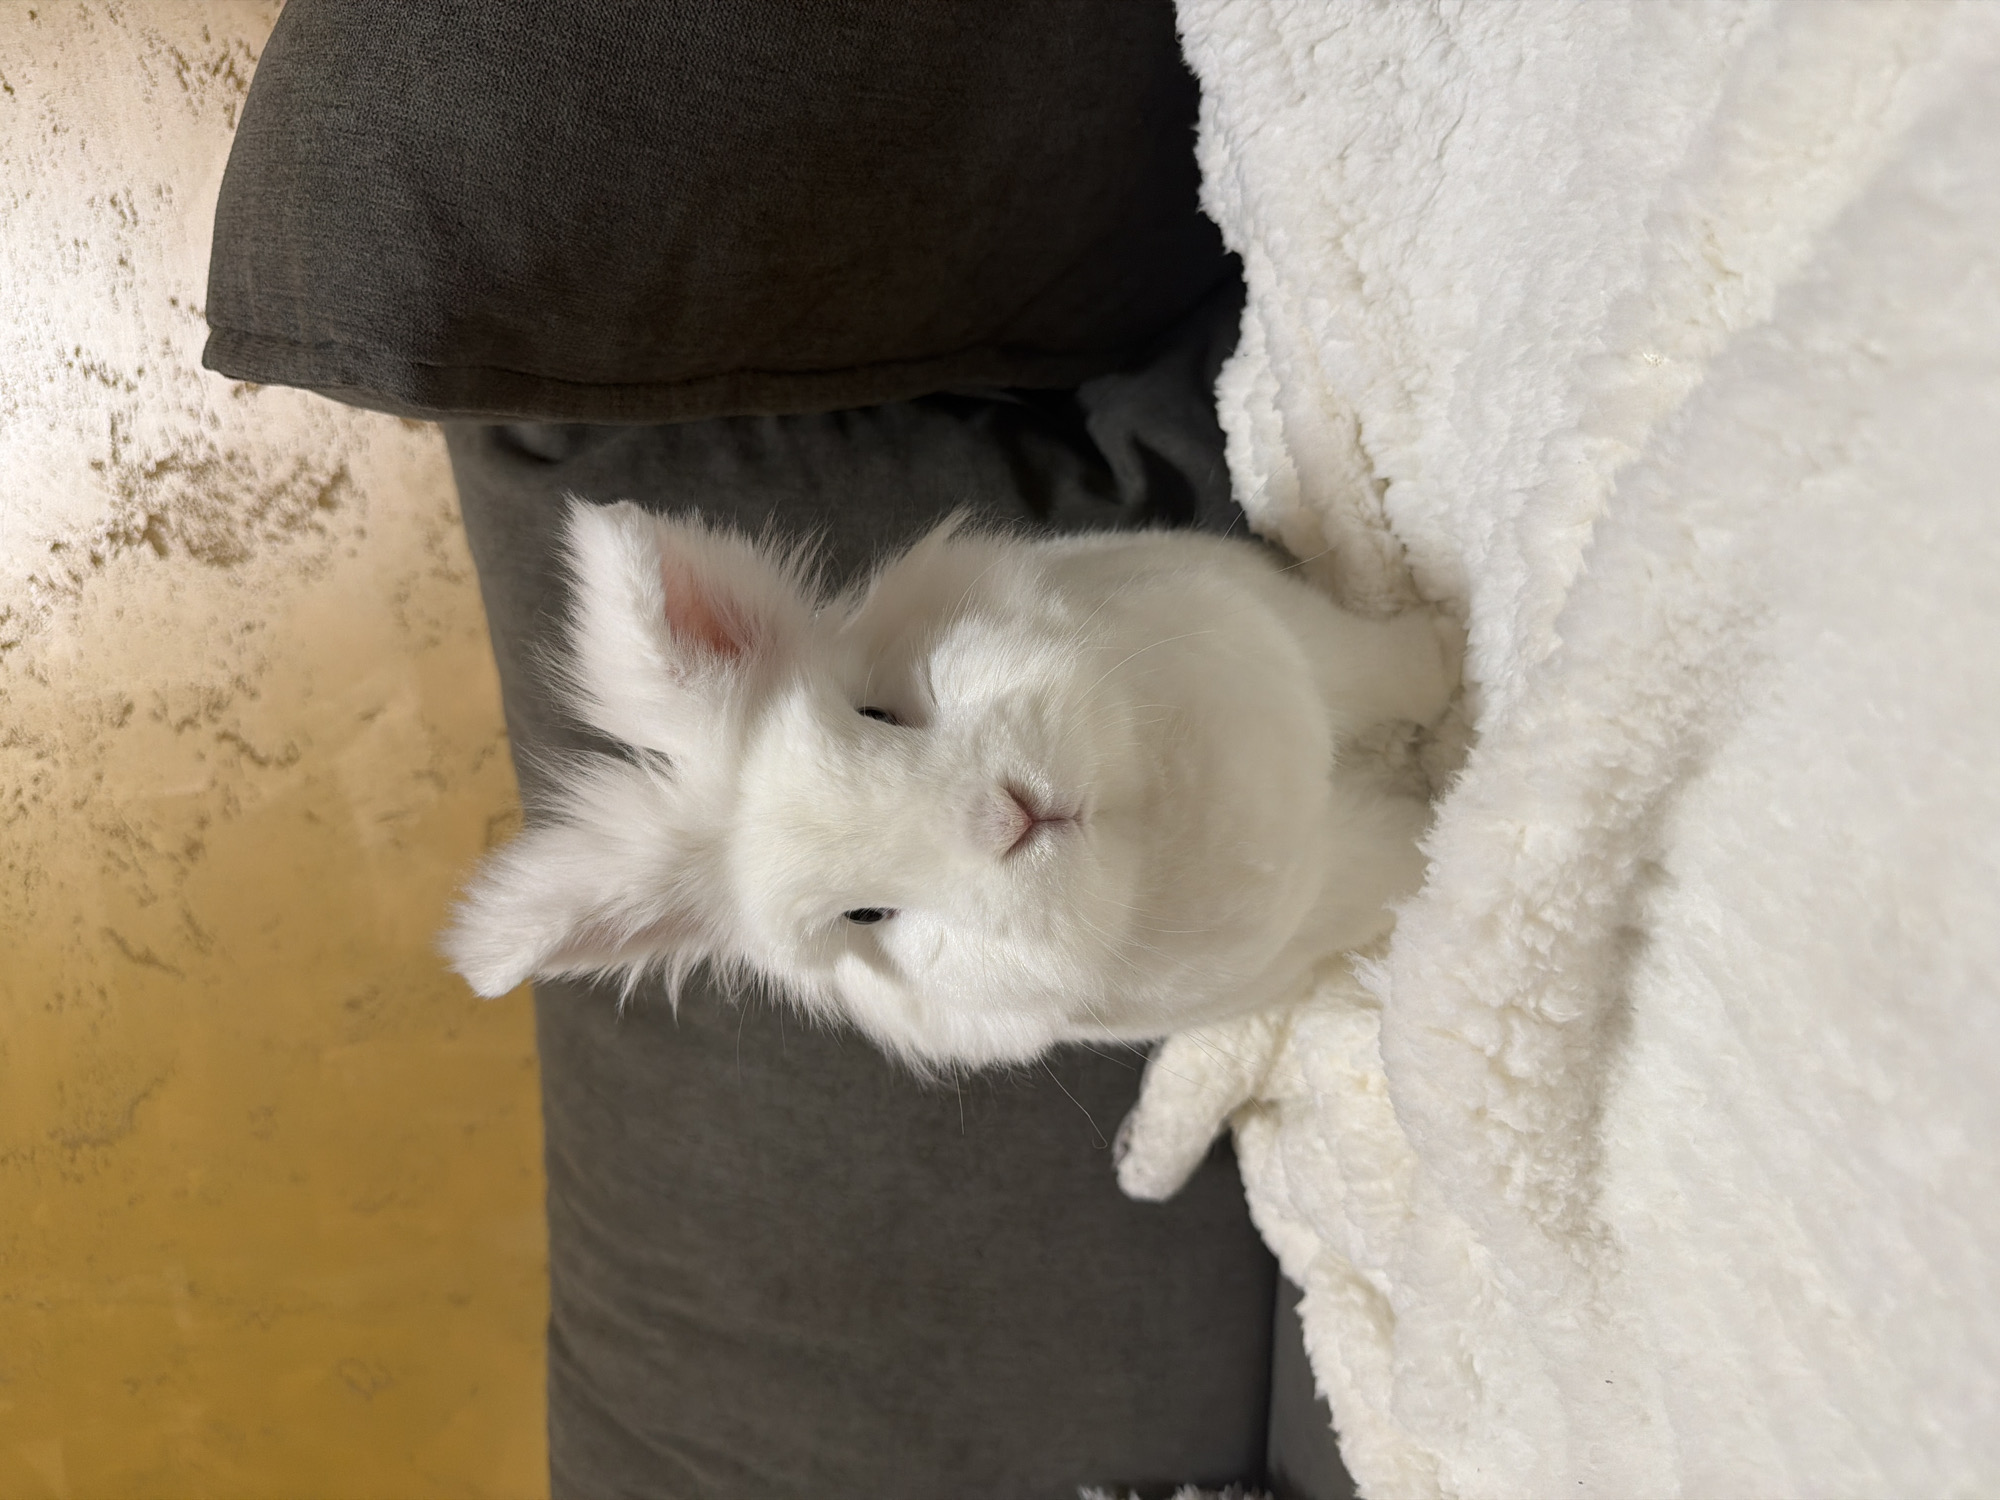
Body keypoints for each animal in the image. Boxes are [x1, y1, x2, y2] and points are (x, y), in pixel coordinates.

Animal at [442, 498, 1458, 1071]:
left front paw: (1455, 651)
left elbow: (1388, 663)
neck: (1143, 813)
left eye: (877, 713)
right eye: (865, 917)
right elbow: (1401, 859)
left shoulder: (1306, 644)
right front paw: (1457, 816)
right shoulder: (1329, 887)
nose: (1005, 817)